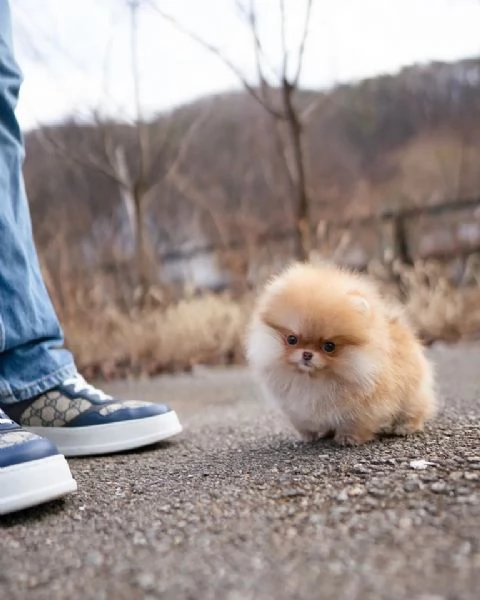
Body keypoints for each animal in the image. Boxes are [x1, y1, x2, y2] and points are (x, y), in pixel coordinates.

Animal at [246, 262, 436, 446]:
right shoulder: (295, 410)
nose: (307, 354)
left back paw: (404, 427)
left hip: (412, 395)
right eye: (292, 339)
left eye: (329, 346)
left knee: (415, 410)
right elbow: (305, 424)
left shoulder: (363, 409)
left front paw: (348, 439)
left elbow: (354, 424)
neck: (312, 379)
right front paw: (309, 437)